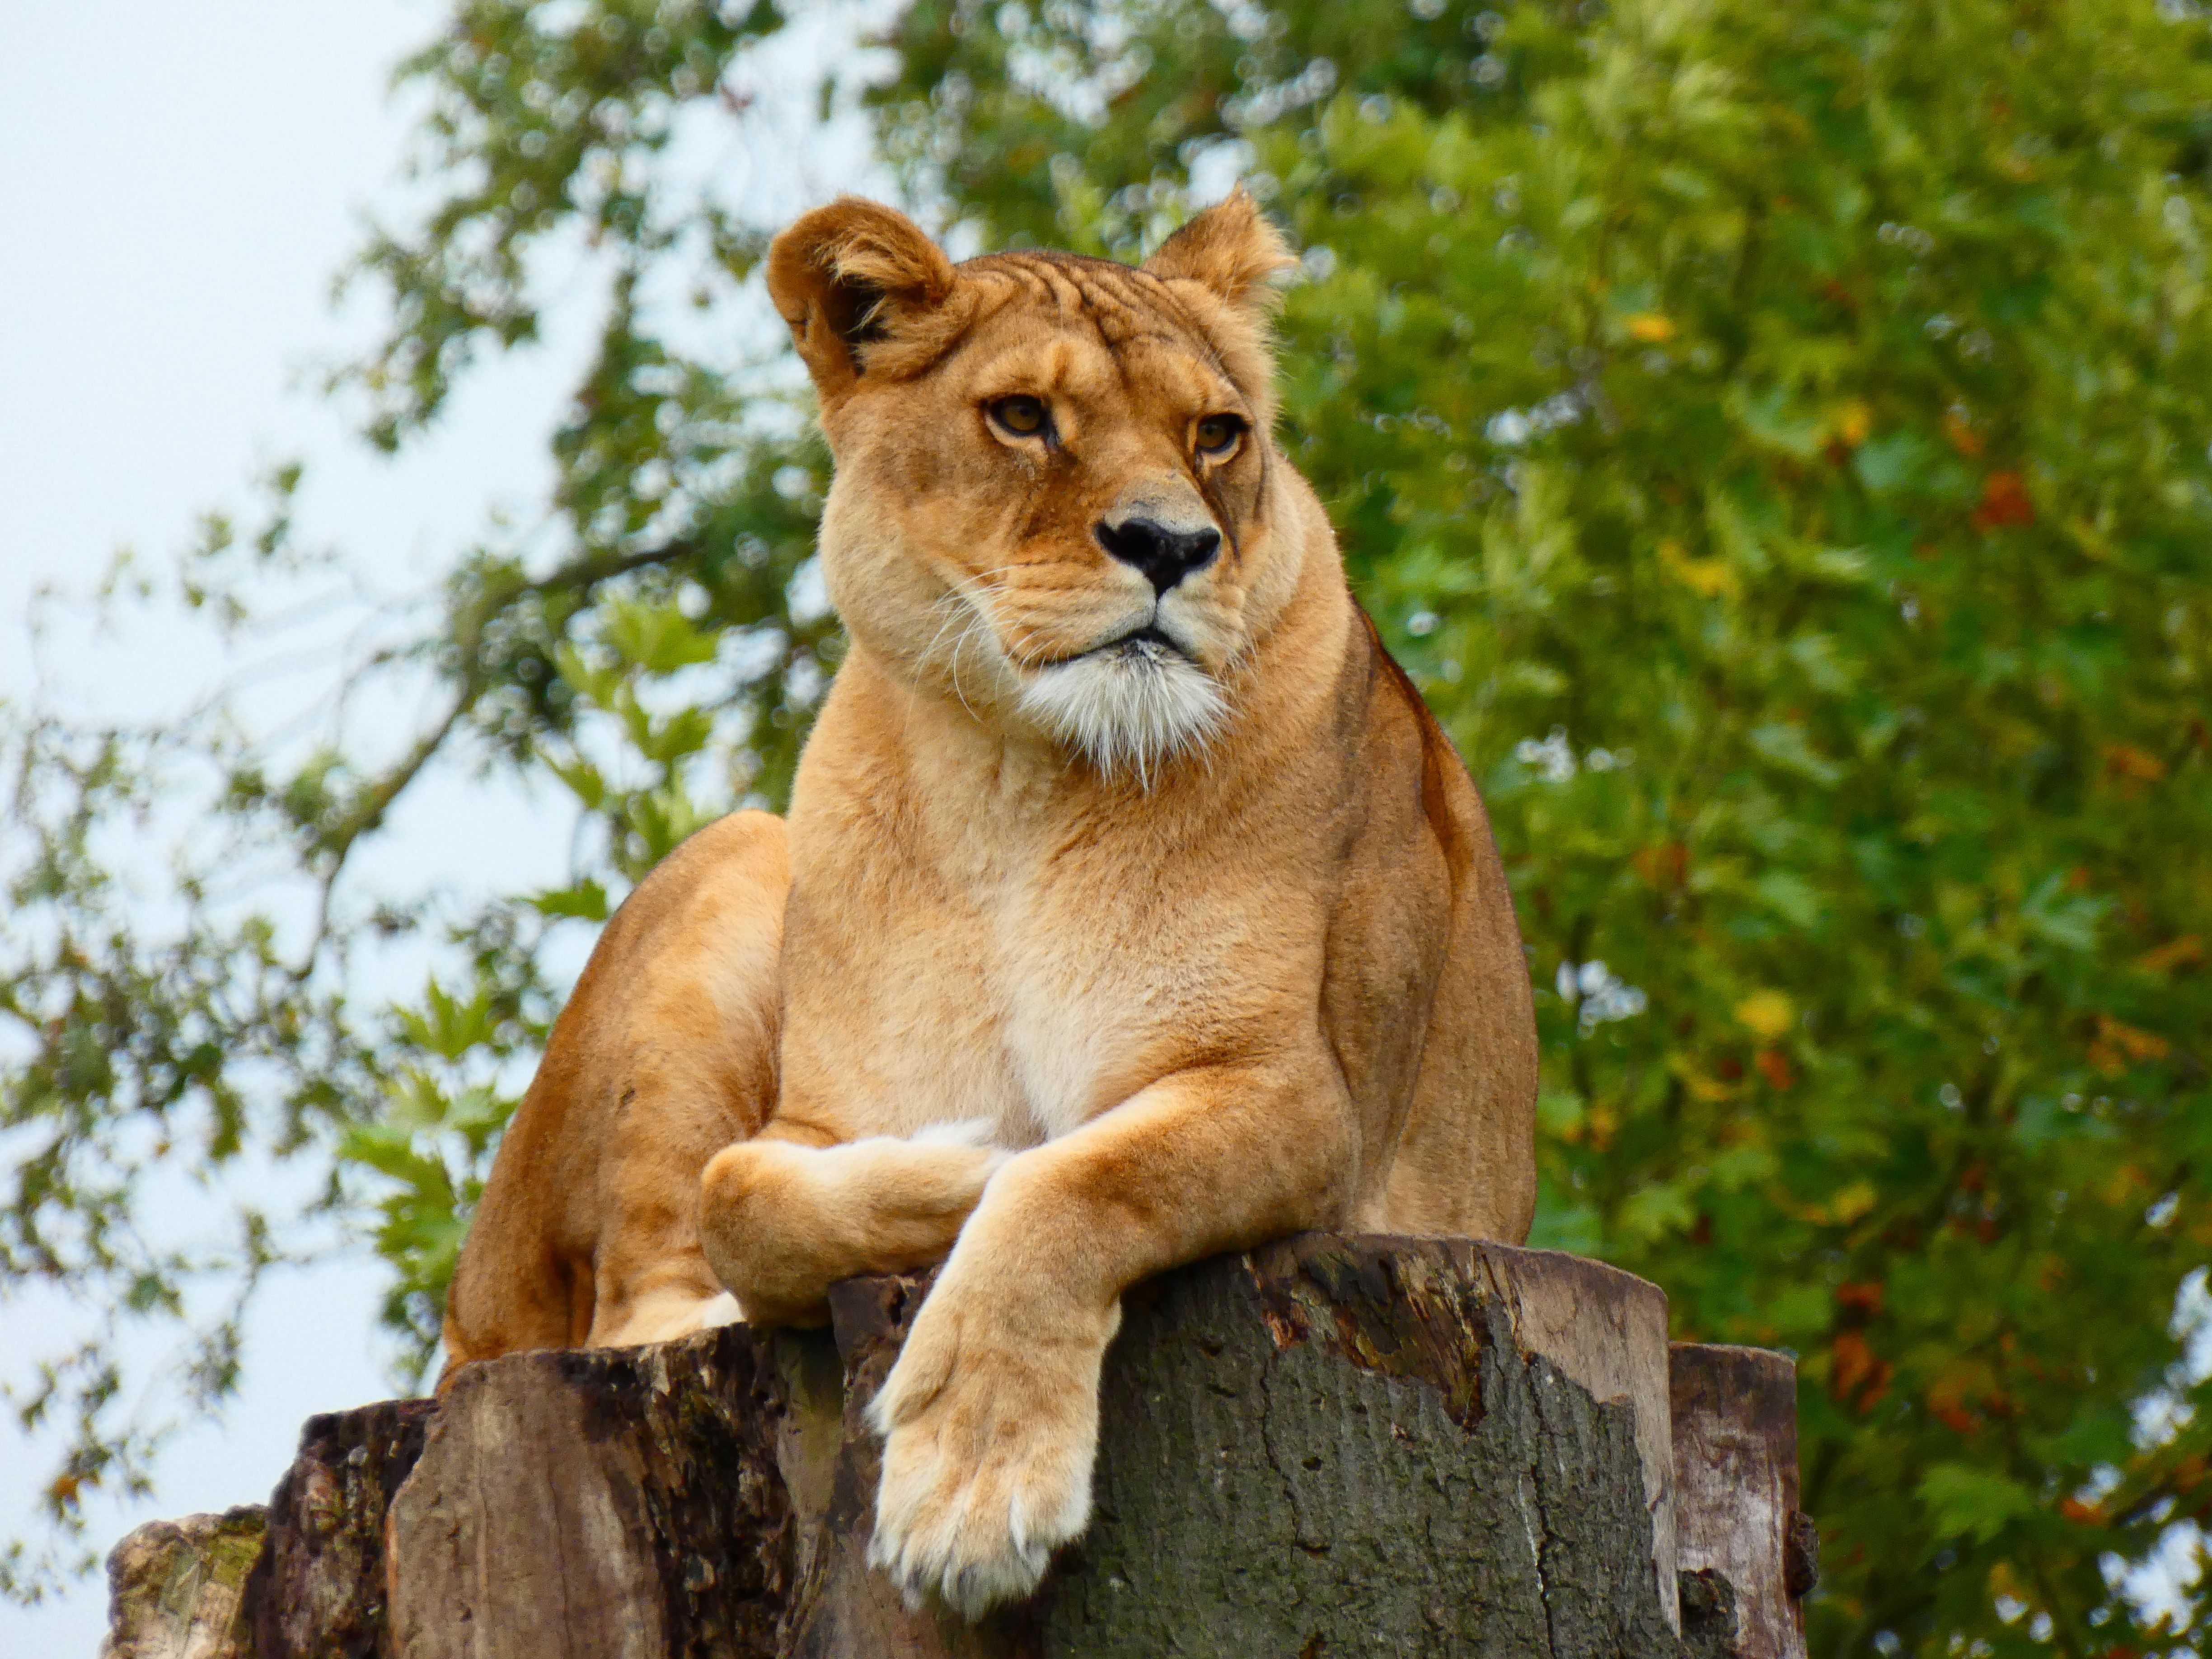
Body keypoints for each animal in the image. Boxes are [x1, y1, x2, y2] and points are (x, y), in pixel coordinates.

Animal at [439, 189, 1538, 1617]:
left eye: (1216, 432)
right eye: (1023, 417)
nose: (1172, 545)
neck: (1019, 783)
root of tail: (464, 1303)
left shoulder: (1303, 1100)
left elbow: (1081, 1181)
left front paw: (970, 1487)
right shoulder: (818, 1114)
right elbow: (746, 1195)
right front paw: (964, 1163)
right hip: (735, 858)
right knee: (633, 1310)